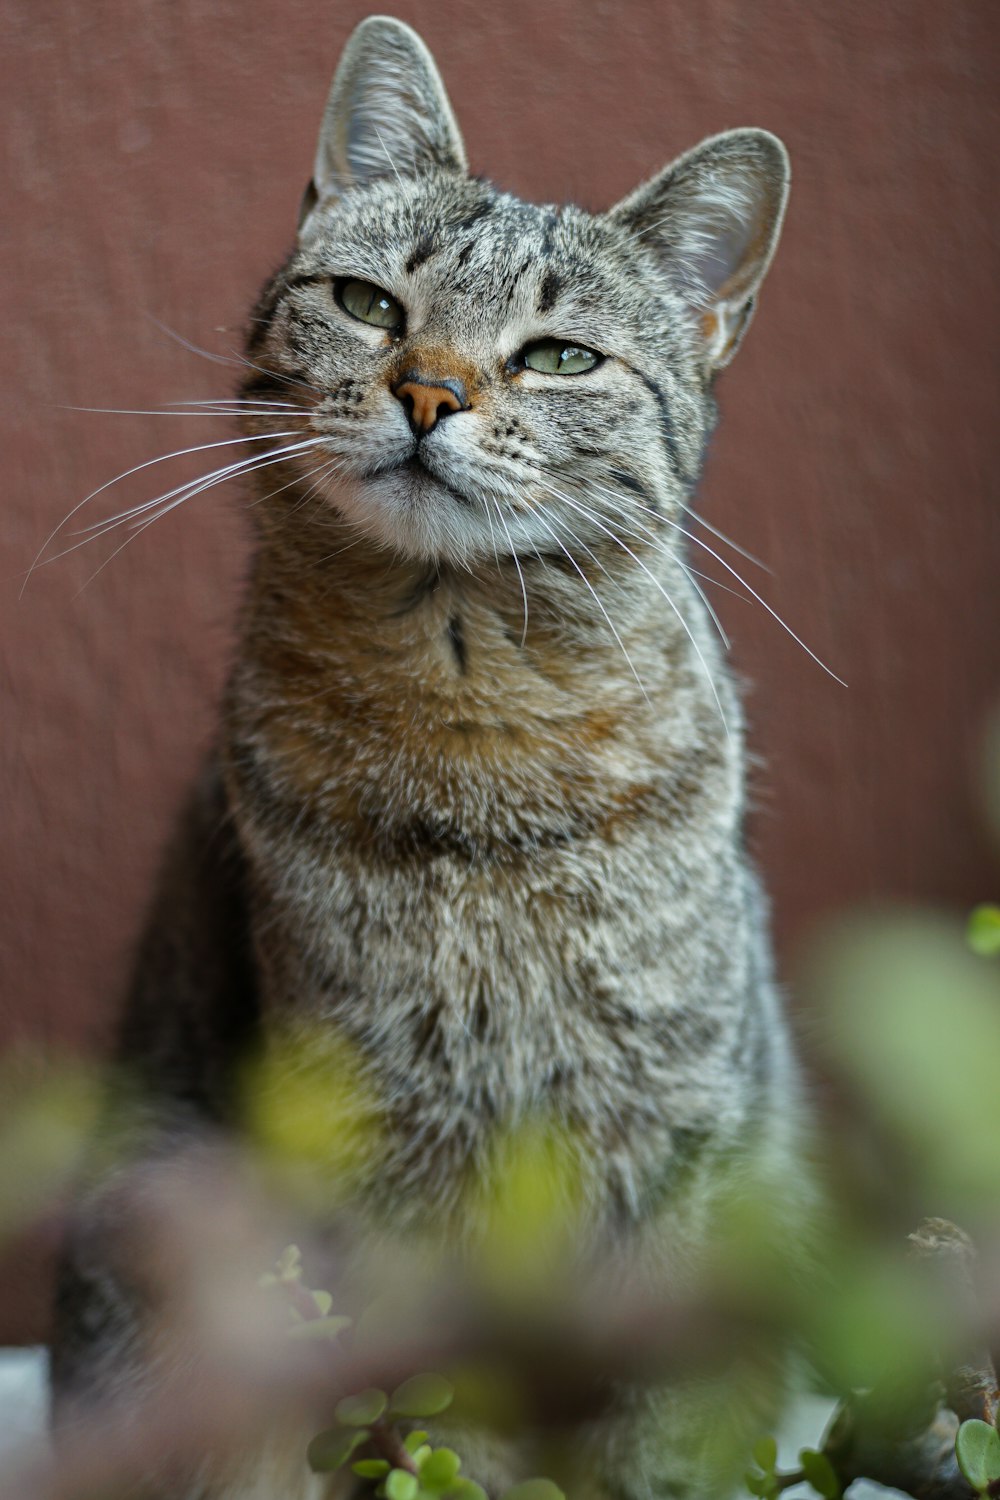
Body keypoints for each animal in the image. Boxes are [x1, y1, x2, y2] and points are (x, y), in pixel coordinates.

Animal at [50, 14, 809, 1500]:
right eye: (370, 305)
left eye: (561, 358)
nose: (428, 390)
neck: (478, 739)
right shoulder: (356, 1140)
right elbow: (406, 1413)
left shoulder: (679, 1127)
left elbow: (651, 1427)